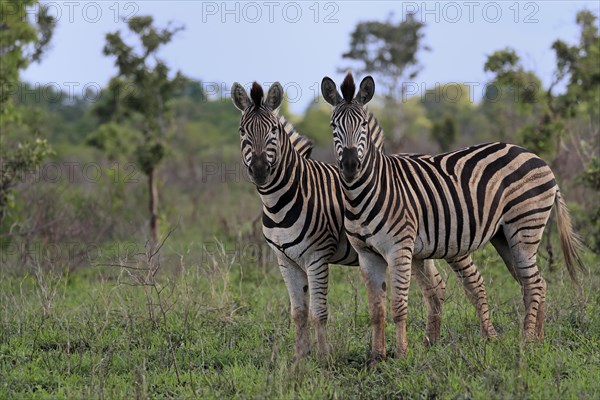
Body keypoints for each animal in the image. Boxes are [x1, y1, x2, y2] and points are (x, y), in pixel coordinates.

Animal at [232, 81, 448, 362]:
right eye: (242, 131)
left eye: (273, 130)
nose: (259, 171)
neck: (283, 198)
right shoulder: (285, 260)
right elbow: (298, 313)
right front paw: (299, 358)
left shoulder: (316, 256)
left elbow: (318, 312)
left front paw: (323, 358)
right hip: (419, 249)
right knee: (436, 288)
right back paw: (431, 344)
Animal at [322, 72, 584, 362]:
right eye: (333, 125)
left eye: (364, 124)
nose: (350, 166)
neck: (362, 193)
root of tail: (538, 158)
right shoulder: (367, 254)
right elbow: (376, 310)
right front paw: (376, 358)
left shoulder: (398, 249)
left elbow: (398, 305)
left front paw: (400, 354)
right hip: (505, 237)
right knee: (535, 283)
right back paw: (538, 340)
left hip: (525, 226)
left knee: (534, 284)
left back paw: (526, 342)